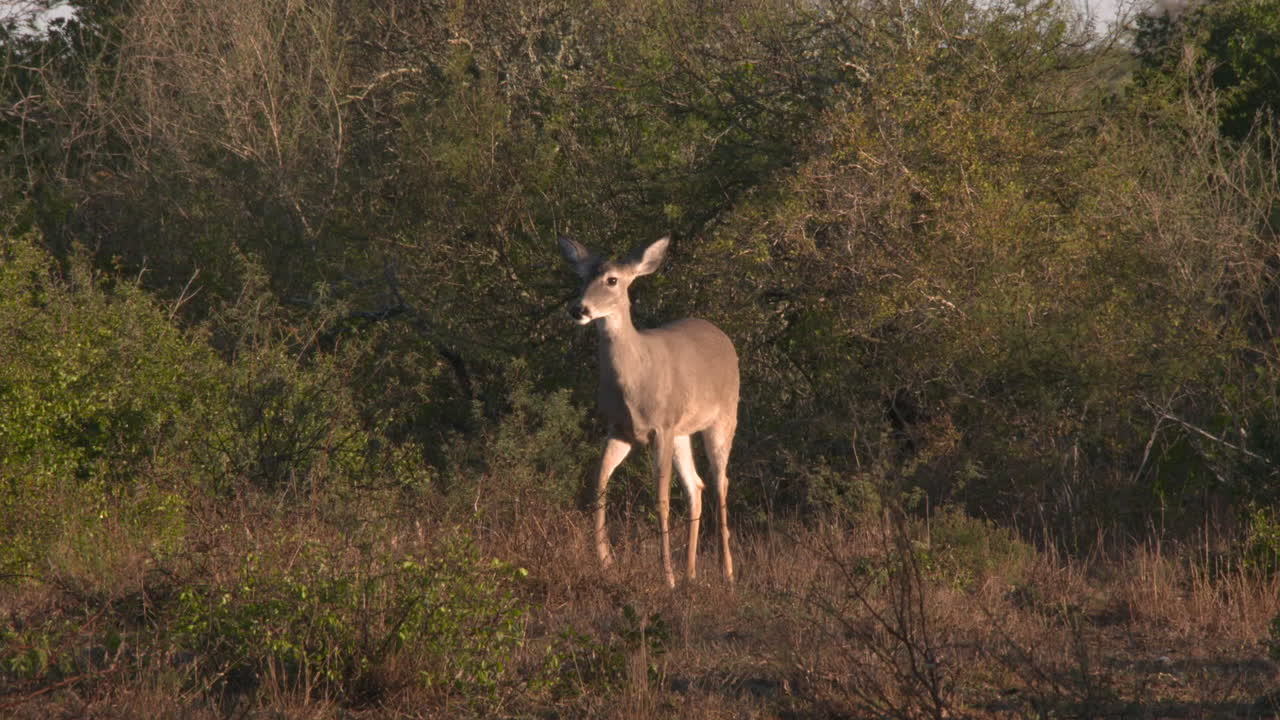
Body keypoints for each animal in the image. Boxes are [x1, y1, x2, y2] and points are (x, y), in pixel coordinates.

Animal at [559, 235, 739, 588]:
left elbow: (661, 499)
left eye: (612, 279)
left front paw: (666, 577)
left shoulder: (661, 428)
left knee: (720, 481)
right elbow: (599, 483)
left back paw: (726, 573)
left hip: (724, 417)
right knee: (696, 486)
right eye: (581, 277)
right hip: (683, 432)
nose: (578, 309)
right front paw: (605, 561)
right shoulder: (619, 430)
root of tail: (722, 335)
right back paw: (691, 572)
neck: (634, 381)